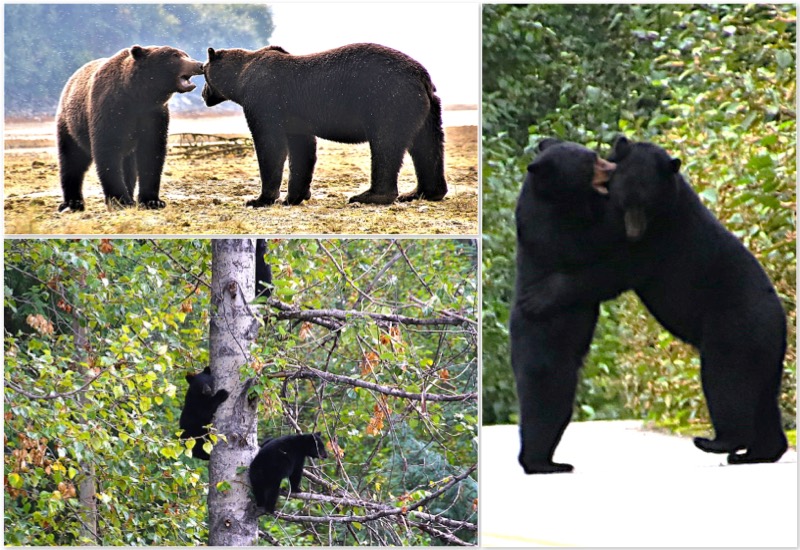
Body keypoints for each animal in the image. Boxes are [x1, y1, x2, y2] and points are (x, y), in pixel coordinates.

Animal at [56, 45, 204, 212]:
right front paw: (120, 199)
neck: (137, 95)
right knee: (71, 160)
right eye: (175, 56)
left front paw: (152, 201)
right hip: (70, 125)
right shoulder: (109, 109)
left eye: (186, 54)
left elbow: (151, 152)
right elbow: (107, 151)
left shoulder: (153, 115)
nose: (199, 65)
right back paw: (72, 202)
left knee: (128, 166)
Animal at [202, 42, 448, 206]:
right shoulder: (295, 117)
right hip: (428, 110)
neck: (240, 79)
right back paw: (421, 192)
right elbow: (302, 148)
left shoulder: (264, 100)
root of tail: (422, 77)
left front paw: (260, 199)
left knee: (386, 144)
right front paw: (294, 196)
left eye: (203, 72)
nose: (203, 94)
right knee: (428, 146)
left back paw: (369, 195)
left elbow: (270, 144)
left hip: (389, 101)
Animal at [510, 138, 620, 474]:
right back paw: (540, 463)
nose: (612, 168)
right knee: (545, 409)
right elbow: (593, 242)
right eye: (591, 162)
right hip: (547, 360)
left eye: (594, 154)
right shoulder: (552, 230)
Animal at [528, 136, 788, 465]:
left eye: (647, 205)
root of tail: (780, 318)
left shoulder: (660, 240)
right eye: (625, 202)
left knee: (726, 381)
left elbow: (612, 271)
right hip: (763, 349)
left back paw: (719, 442)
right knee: (764, 396)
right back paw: (759, 452)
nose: (633, 232)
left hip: (733, 329)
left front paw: (539, 297)